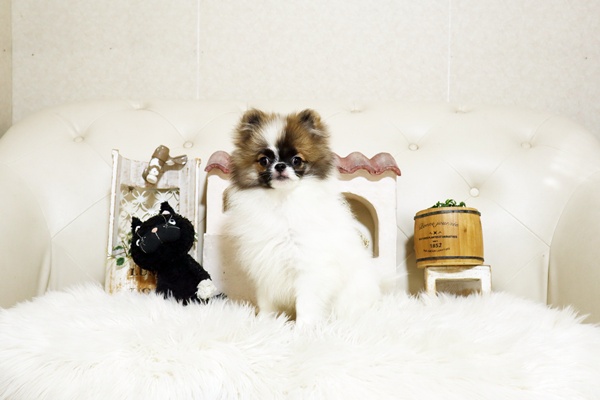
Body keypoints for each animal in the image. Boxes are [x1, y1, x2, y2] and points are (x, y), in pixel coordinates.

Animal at [225, 108, 382, 325]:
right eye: (264, 160)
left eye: (296, 160)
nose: (280, 166)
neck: (282, 200)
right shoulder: (265, 263)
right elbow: (266, 302)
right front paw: (263, 324)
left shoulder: (310, 266)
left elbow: (306, 304)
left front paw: (303, 329)